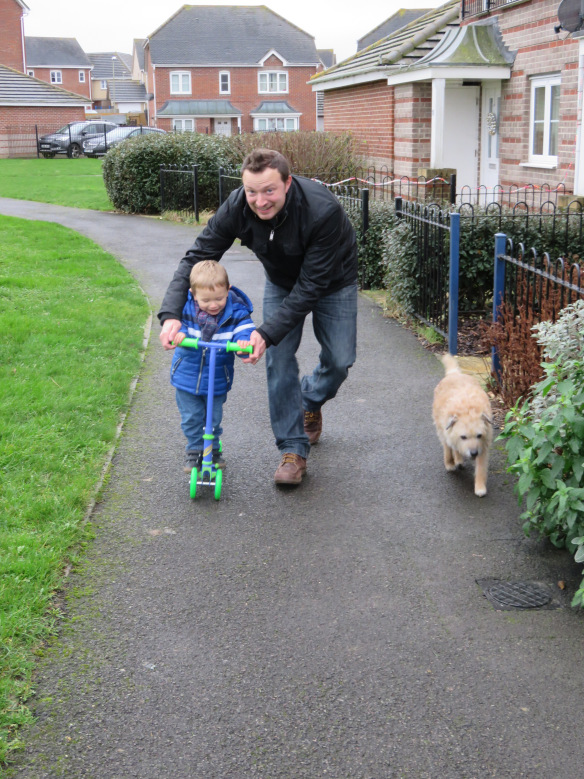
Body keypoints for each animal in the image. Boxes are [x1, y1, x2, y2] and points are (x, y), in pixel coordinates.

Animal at [432, 354, 496, 500]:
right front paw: (452, 462)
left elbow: (481, 468)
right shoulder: (449, 434)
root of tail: (454, 374)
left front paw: (480, 487)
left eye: (479, 435)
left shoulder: (483, 446)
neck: (468, 410)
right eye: (463, 437)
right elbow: (450, 448)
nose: (473, 453)